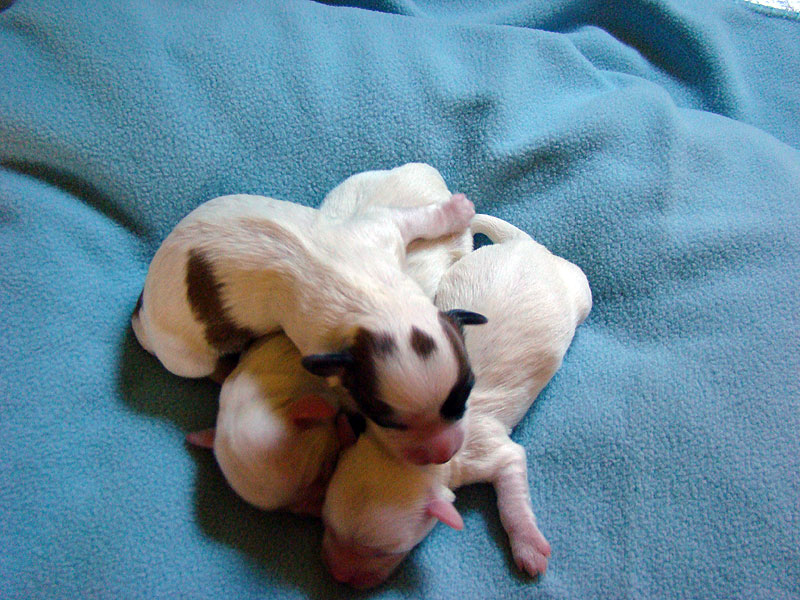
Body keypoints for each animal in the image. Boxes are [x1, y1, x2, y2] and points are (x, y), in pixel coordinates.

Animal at [132, 190, 482, 464]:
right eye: (384, 420)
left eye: (466, 392)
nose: (444, 454)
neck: (373, 301)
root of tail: (143, 316)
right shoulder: (316, 339)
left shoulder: (379, 230)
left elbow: (412, 218)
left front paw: (456, 210)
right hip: (189, 357)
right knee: (214, 368)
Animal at [321, 214, 592, 588]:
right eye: (328, 527)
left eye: (384, 552)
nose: (338, 577)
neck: (412, 458)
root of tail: (526, 245)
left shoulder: (491, 451)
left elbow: (512, 494)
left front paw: (529, 547)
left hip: (576, 286)